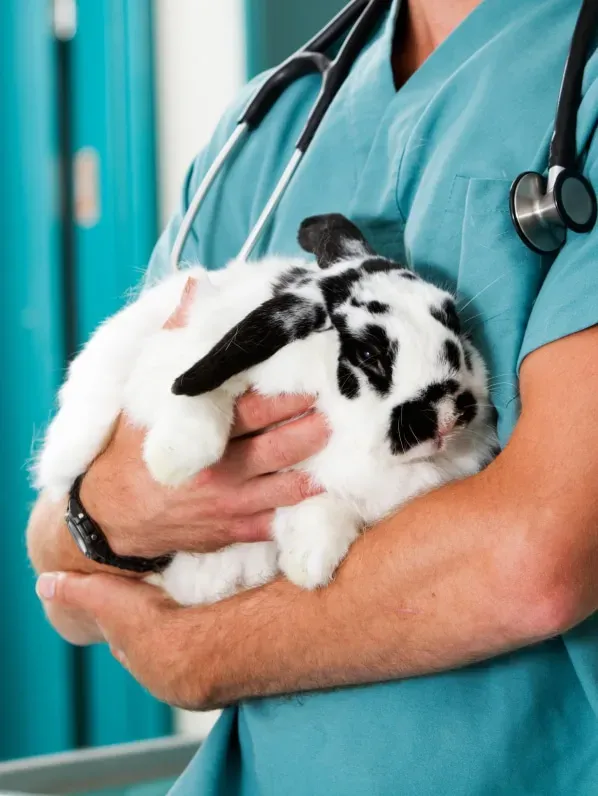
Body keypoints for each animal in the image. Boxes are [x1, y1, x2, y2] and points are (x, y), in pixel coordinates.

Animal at [35, 214, 498, 605]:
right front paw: (173, 463)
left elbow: (326, 504)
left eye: (454, 322)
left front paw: (309, 563)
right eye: (369, 353)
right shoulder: (183, 358)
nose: (446, 415)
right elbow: (197, 397)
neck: (346, 426)